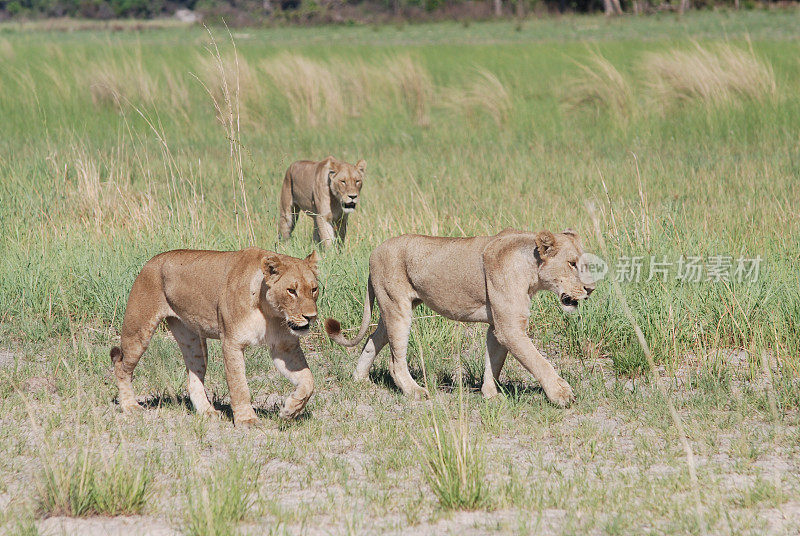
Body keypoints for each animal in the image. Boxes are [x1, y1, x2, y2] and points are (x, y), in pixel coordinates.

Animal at [324, 227, 592, 406]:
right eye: (571, 263)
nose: (590, 289)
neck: (532, 269)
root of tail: (375, 250)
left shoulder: (497, 325)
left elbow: (493, 361)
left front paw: (490, 395)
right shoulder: (509, 327)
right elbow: (539, 361)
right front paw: (562, 395)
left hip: (390, 309)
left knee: (372, 339)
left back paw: (360, 379)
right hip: (398, 308)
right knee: (395, 361)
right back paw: (415, 392)